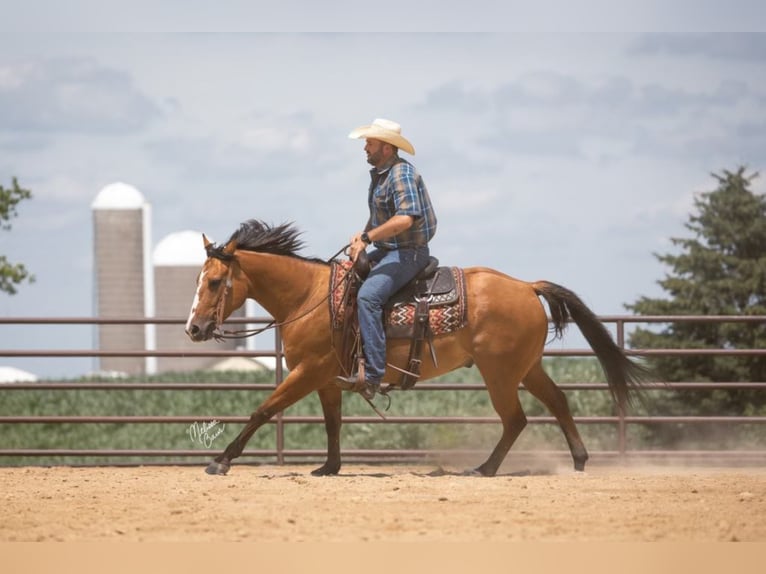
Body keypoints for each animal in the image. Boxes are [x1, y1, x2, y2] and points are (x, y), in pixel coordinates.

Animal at [186, 219, 648, 476]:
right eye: (199, 279)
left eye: (215, 282)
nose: (193, 328)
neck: (308, 297)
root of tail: (525, 285)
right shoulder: (326, 379)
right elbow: (333, 424)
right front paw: (329, 467)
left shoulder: (307, 372)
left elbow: (262, 410)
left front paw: (221, 460)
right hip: (526, 368)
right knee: (558, 401)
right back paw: (579, 460)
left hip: (500, 374)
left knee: (516, 419)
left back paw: (484, 469)